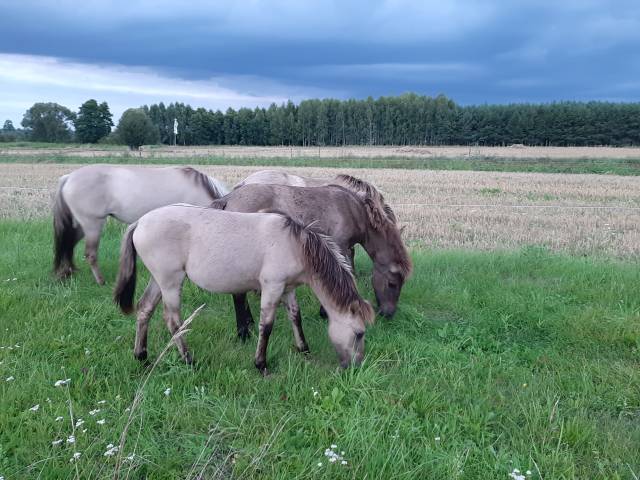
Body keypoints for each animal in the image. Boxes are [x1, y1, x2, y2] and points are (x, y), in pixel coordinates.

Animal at [53, 165, 228, 284]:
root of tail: (68, 177)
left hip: (82, 226)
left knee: (68, 243)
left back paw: (66, 273)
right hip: (93, 224)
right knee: (89, 253)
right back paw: (100, 281)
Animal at [113, 204, 376, 374]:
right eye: (359, 333)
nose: (356, 367)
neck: (295, 244)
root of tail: (140, 221)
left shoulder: (288, 288)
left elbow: (295, 316)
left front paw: (303, 349)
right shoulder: (272, 287)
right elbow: (266, 325)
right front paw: (261, 363)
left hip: (157, 280)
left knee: (145, 309)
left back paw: (142, 357)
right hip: (170, 282)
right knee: (174, 321)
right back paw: (188, 360)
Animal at [210, 184, 410, 342]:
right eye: (392, 283)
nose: (388, 314)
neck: (353, 210)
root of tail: (228, 198)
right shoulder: (340, 246)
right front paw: (326, 312)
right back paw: (244, 333)